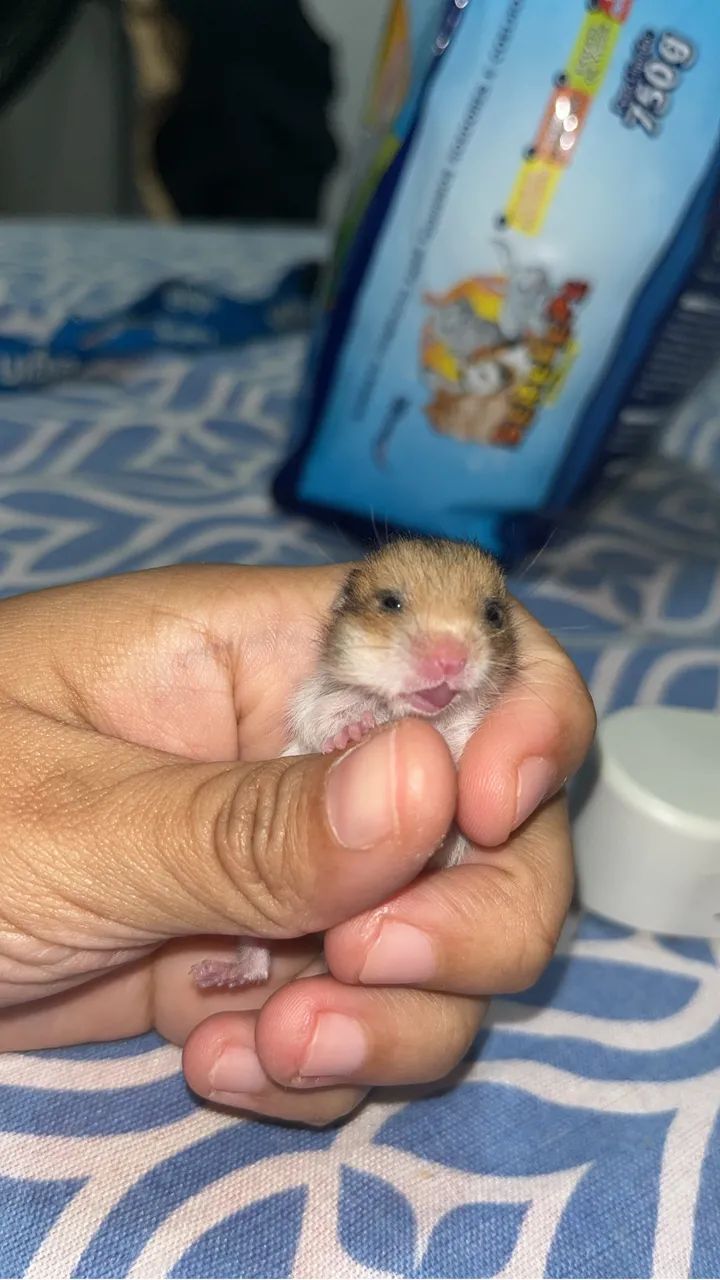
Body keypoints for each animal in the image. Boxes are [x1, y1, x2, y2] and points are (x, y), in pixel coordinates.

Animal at [191, 538, 518, 991]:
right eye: (390, 602)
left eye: (493, 614)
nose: (450, 659)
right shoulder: (316, 701)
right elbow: (327, 718)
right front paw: (356, 731)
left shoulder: (467, 729)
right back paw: (212, 975)